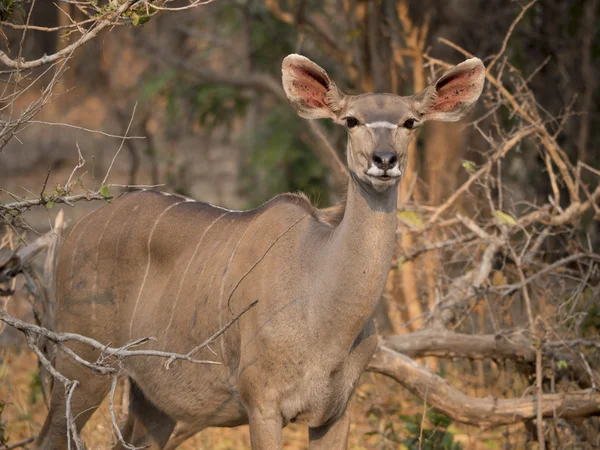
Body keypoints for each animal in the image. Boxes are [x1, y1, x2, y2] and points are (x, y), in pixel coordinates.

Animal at [35, 54, 482, 448]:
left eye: (410, 122)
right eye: (351, 120)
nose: (384, 160)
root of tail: (72, 233)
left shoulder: (336, 413)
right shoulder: (263, 405)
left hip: (152, 401)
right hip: (82, 365)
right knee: (50, 437)